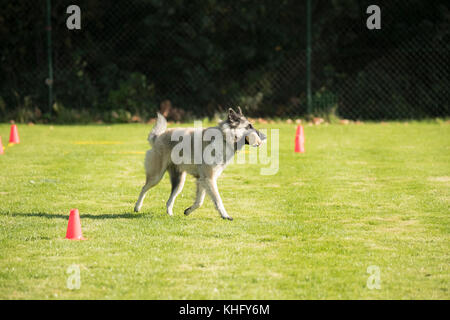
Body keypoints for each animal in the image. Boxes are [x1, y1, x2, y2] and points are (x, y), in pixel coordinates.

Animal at [134, 107, 268, 220]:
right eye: (249, 126)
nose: (264, 136)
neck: (224, 138)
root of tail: (158, 136)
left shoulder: (203, 180)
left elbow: (199, 202)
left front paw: (188, 211)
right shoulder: (209, 179)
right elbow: (217, 200)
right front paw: (225, 215)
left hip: (179, 182)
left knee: (169, 200)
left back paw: (170, 214)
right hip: (156, 176)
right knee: (144, 188)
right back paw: (137, 207)